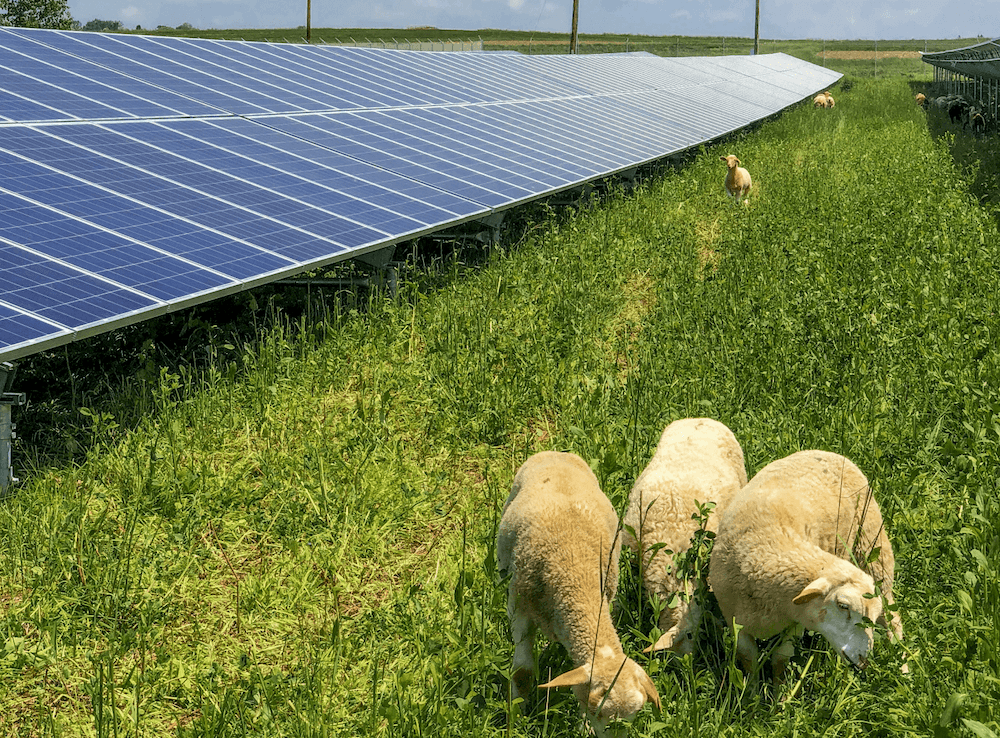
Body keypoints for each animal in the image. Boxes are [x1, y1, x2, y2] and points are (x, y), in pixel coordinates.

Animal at [497, 451, 660, 734]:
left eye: (635, 715)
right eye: (597, 709)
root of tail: (557, 452)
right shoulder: (519, 607)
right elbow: (522, 672)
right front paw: (515, 718)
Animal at [708, 450, 904, 680]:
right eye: (843, 606)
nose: (863, 660)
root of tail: (829, 452)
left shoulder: (796, 622)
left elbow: (781, 659)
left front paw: (779, 690)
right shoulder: (734, 621)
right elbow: (749, 661)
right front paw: (752, 689)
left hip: (873, 548)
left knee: (894, 619)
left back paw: (903, 670)